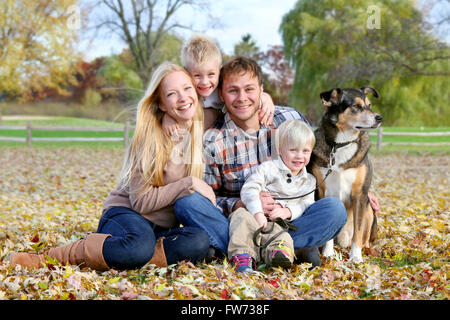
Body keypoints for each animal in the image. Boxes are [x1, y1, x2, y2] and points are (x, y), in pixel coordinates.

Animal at [310, 85, 384, 262]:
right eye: (356, 106)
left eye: (369, 105)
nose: (380, 118)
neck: (341, 144)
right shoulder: (323, 191)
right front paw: (328, 252)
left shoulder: (360, 194)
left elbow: (358, 230)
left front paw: (355, 256)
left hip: (369, 209)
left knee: (364, 238)